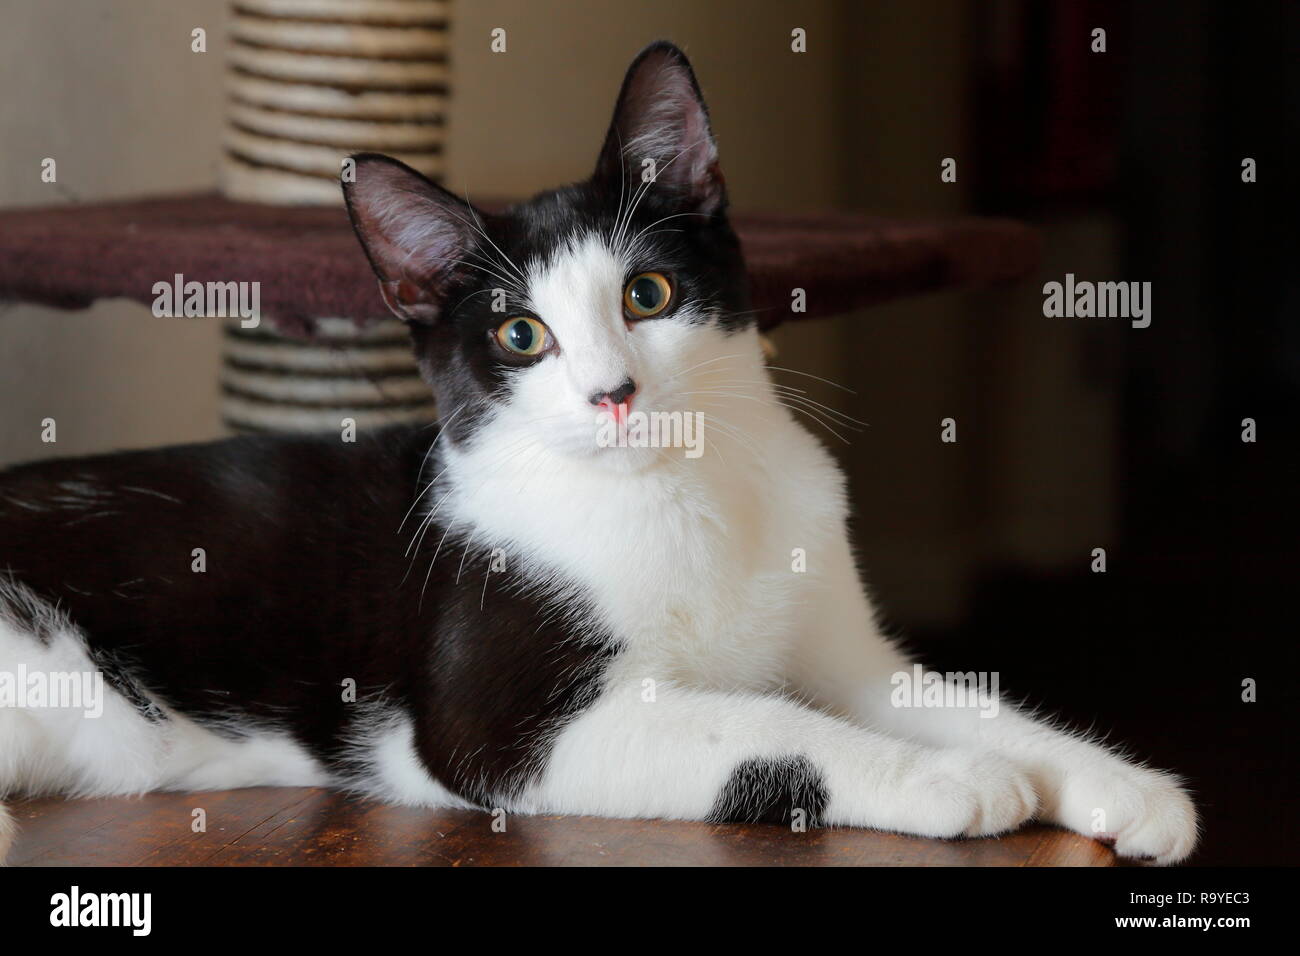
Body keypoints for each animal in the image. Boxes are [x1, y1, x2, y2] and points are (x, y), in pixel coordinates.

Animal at [0, 42, 1196, 868]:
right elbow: (762, 725)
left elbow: (944, 692)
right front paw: (954, 778)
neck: (680, 499)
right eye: (520, 336)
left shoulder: (844, 649)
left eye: (649, 293)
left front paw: (1121, 785)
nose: (613, 394)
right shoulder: (502, 727)